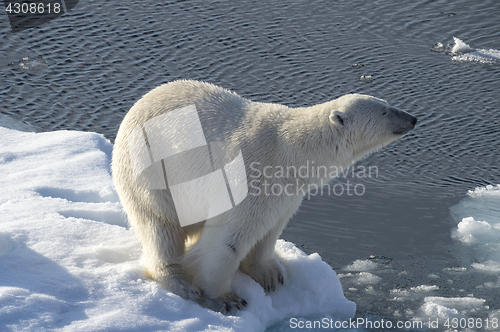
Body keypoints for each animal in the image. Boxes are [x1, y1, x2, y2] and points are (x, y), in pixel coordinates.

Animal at [111, 79, 416, 312]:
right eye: (385, 111)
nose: (412, 118)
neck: (290, 151)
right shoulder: (250, 176)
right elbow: (228, 239)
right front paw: (226, 298)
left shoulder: (285, 193)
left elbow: (269, 229)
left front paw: (270, 275)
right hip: (147, 171)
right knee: (160, 227)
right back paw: (179, 281)